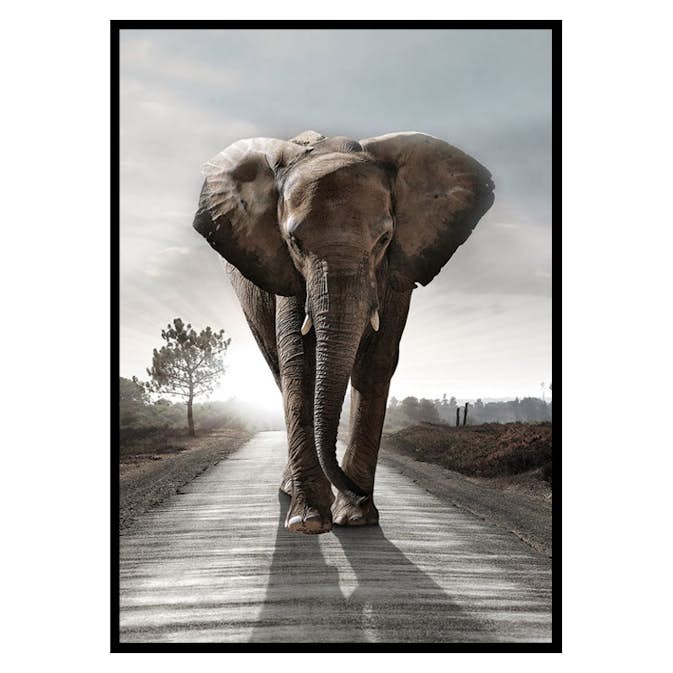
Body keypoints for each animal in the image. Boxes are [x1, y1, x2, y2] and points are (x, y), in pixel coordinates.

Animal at [192, 130, 494, 534]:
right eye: (295, 242)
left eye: (384, 239)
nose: (358, 493)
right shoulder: (287, 275)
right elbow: (299, 365)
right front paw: (308, 522)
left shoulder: (396, 273)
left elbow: (376, 364)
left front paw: (355, 518)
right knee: (278, 369)